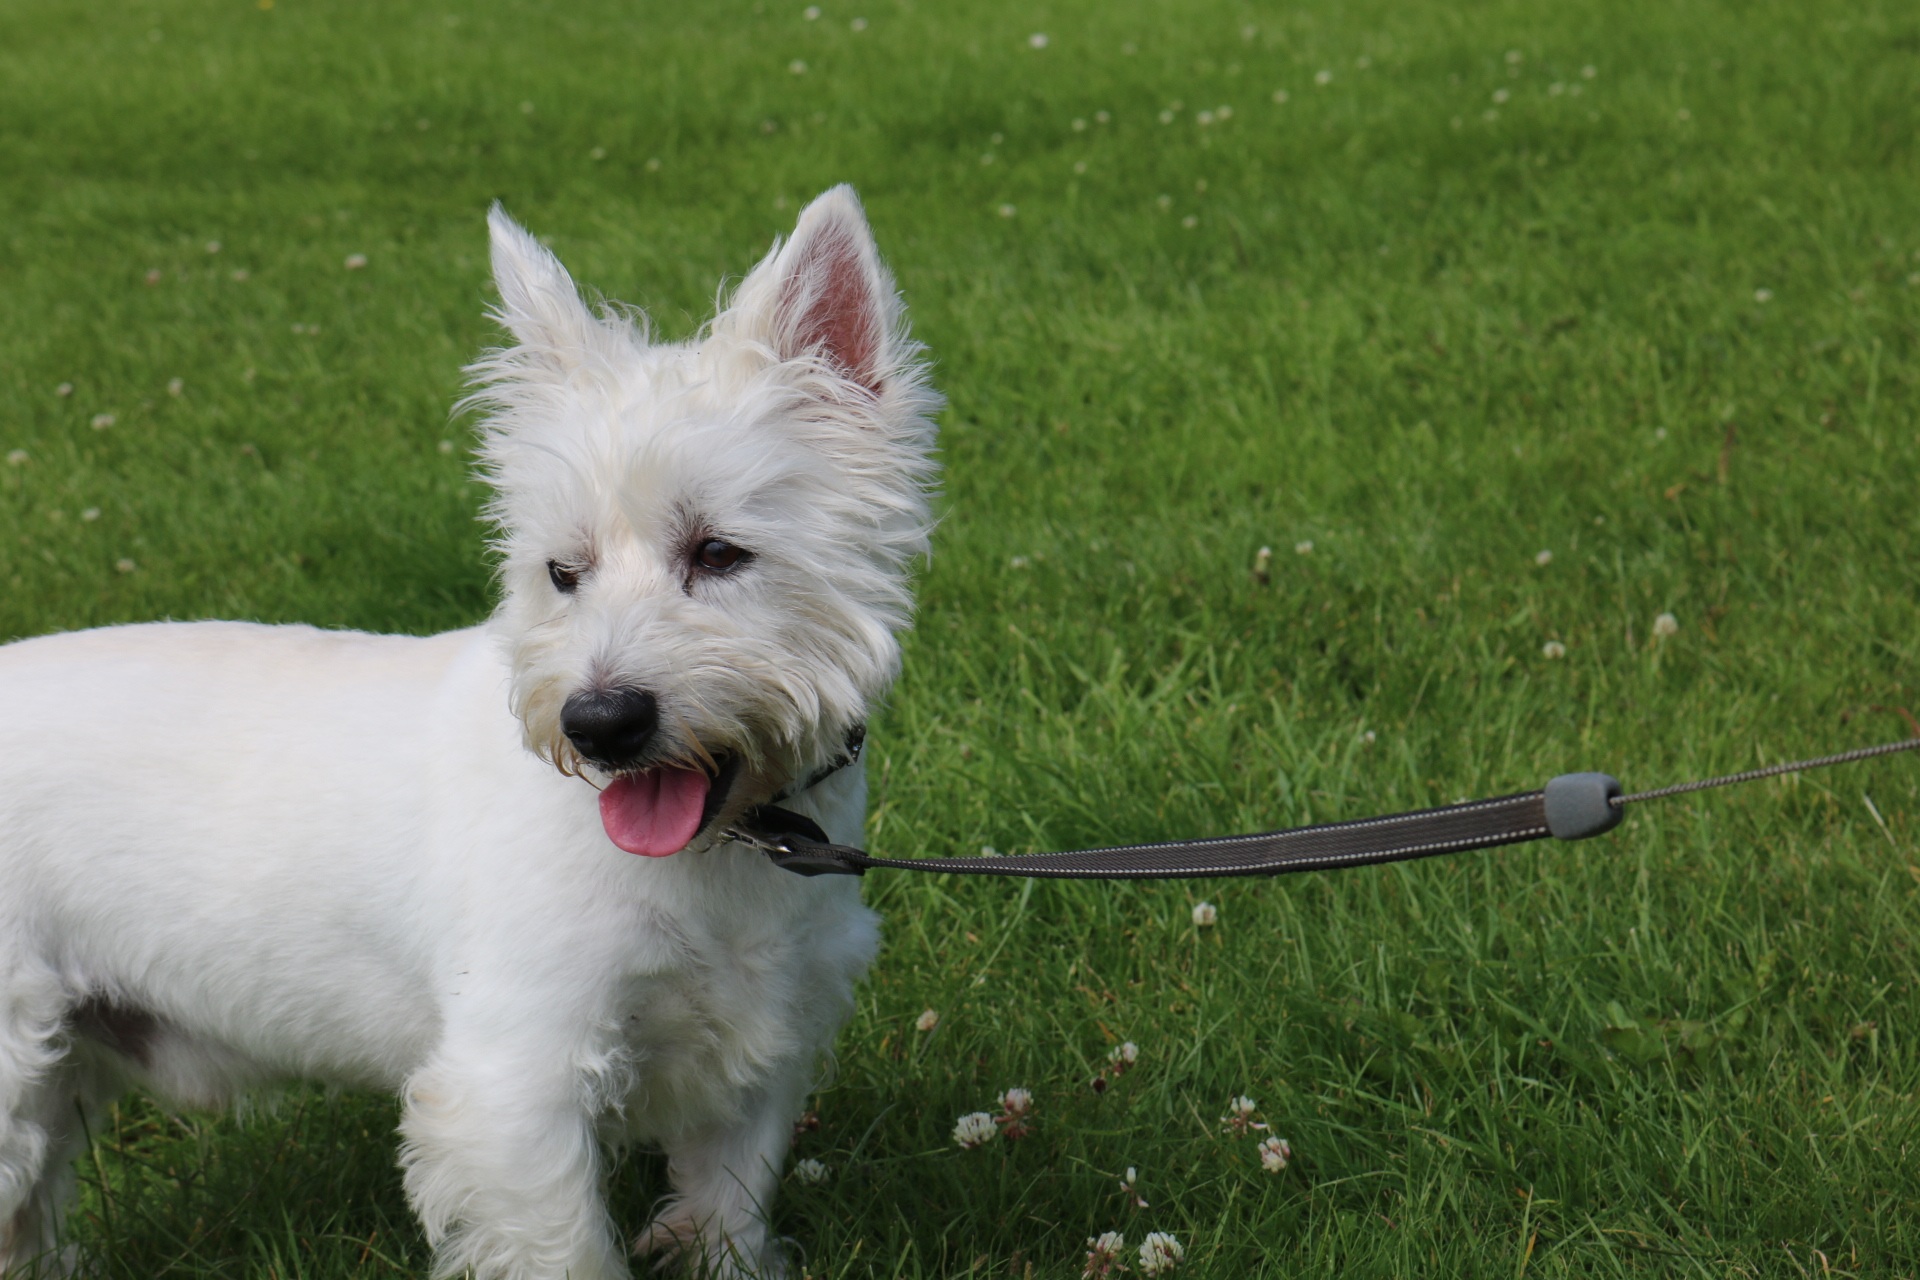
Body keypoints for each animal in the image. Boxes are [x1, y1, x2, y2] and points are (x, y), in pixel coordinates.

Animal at [0, 182, 936, 1280]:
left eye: (720, 553)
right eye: (561, 572)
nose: (600, 723)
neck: (724, 856)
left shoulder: (755, 1058)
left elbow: (727, 1217)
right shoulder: (514, 1082)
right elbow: (567, 1247)